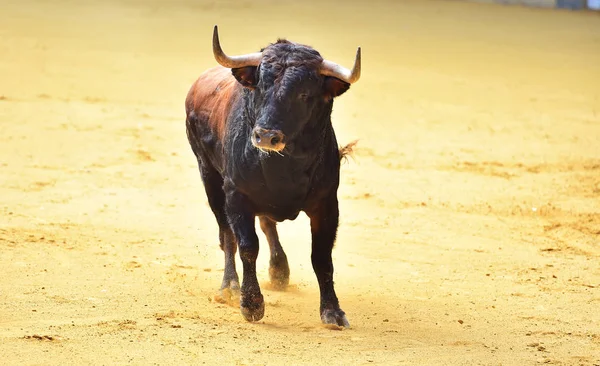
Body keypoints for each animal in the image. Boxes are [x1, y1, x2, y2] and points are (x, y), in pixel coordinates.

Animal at [184, 26, 360, 328]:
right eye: (261, 86)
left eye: (304, 94)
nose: (265, 136)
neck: (285, 171)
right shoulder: (237, 196)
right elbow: (247, 246)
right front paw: (251, 304)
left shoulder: (327, 204)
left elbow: (322, 256)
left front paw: (333, 311)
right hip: (209, 177)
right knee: (227, 234)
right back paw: (229, 287)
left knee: (267, 224)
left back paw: (279, 271)